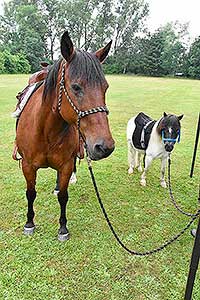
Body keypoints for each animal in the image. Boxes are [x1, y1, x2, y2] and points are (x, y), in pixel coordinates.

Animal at [16, 31, 114, 240]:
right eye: (76, 87)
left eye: (105, 87)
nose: (105, 147)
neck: (46, 130)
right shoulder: (27, 166)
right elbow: (30, 193)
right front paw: (29, 223)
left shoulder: (66, 164)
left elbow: (63, 195)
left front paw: (62, 227)